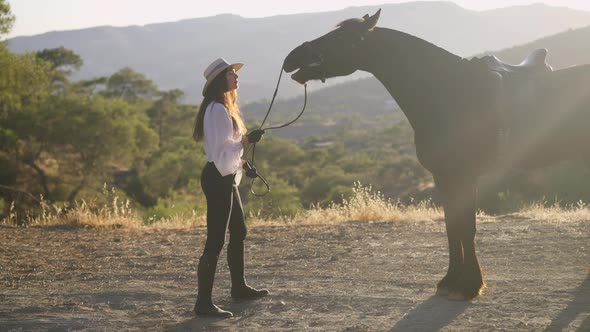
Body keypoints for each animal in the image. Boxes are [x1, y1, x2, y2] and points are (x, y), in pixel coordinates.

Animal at [284, 9, 590, 300]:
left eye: (340, 37)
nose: (291, 58)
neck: (448, 94)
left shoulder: (465, 176)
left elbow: (466, 228)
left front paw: (470, 285)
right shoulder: (443, 176)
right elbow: (451, 228)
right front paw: (450, 281)